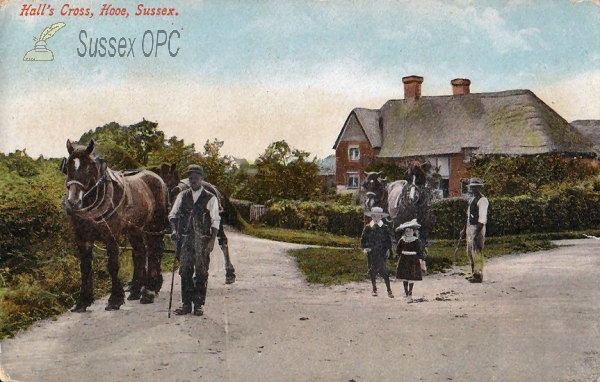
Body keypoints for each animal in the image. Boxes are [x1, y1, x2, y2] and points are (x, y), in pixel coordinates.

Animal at [63, 139, 169, 312]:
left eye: (89, 167)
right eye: (68, 167)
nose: (73, 202)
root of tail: (157, 178)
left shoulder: (111, 237)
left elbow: (112, 265)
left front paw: (115, 299)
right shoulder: (83, 240)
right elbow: (85, 268)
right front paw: (83, 301)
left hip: (155, 227)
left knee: (154, 252)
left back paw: (149, 290)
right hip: (136, 230)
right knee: (140, 253)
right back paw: (136, 290)